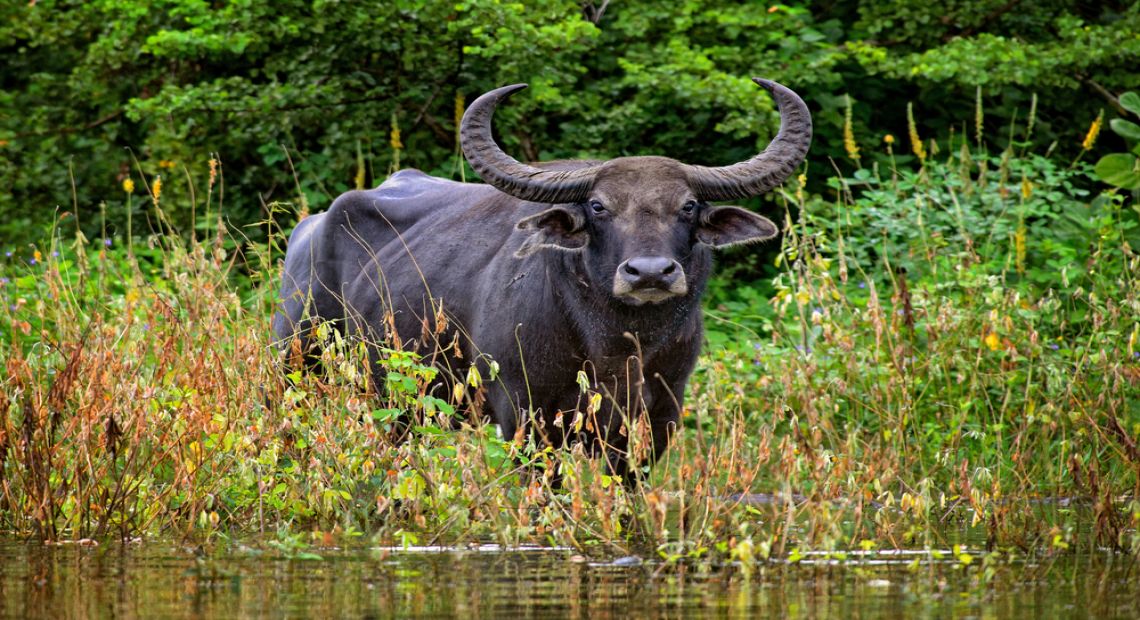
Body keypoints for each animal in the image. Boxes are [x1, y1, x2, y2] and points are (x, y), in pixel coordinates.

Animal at [273, 78, 811, 478]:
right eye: (597, 206)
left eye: (690, 205)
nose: (650, 273)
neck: (615, 345)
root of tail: (311, 228)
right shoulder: (525, 418)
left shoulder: (656, 421)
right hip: (297, 366)